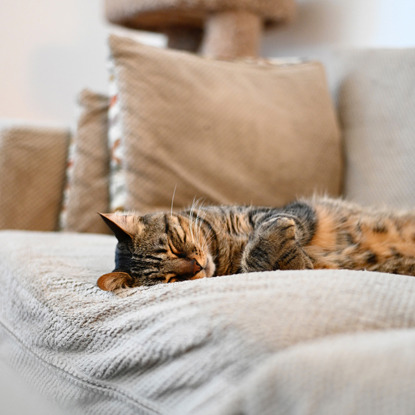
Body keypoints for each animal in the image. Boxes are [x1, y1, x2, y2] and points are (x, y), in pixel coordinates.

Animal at [97, 197, 415, 290]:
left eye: (175, 245)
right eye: (172, 279)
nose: (197, 266)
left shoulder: (289, 212)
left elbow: (267, 230)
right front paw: (297, 261)